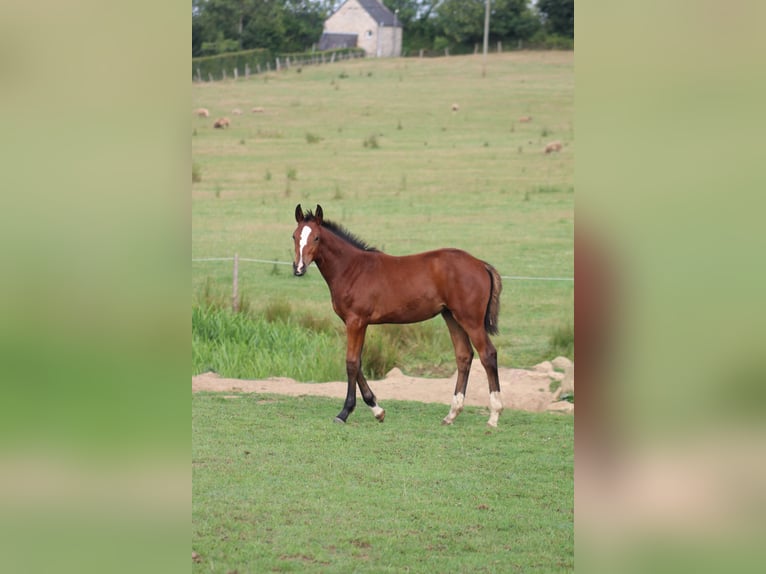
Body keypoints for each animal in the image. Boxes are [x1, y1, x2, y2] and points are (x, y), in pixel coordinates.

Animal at [292, 204, 504, 427]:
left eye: (316, 237)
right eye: (294, 236)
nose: (298, 268)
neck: (352, 269)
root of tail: (481, 264)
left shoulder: (356, 321)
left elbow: (351, 363)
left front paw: (344, 412)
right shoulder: (356, 323)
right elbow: (358, 362)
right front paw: (377, 410)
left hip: (471, 320)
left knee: (488, 354)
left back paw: (494, 415)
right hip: (451, 317)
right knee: (464, 356)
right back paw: (452, 414)